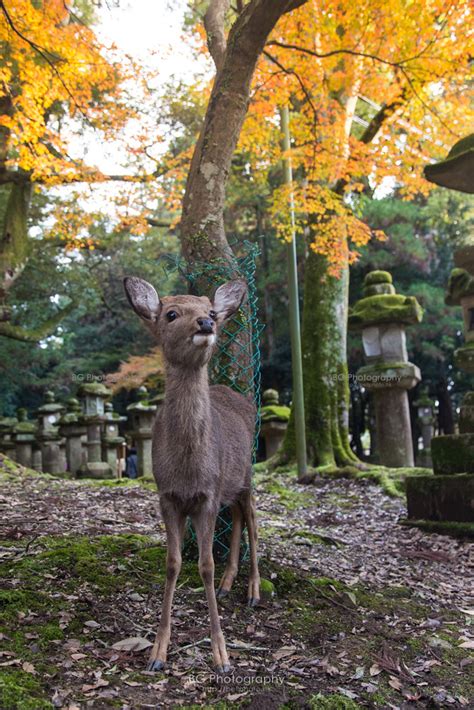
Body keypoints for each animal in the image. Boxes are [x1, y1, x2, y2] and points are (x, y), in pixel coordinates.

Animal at [124, 276, 262, 672]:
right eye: (171, 313)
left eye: (212, 311)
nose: (206, 323)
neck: (187, 469)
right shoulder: (167, 496)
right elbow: (173, 564)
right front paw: (157, 653)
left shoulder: (206, 496)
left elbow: (204, 565)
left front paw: (222, 656)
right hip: (229, 483)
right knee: (238, 515)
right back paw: (230, 584)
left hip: (247, 471)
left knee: (252, 518)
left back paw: (253, 591)